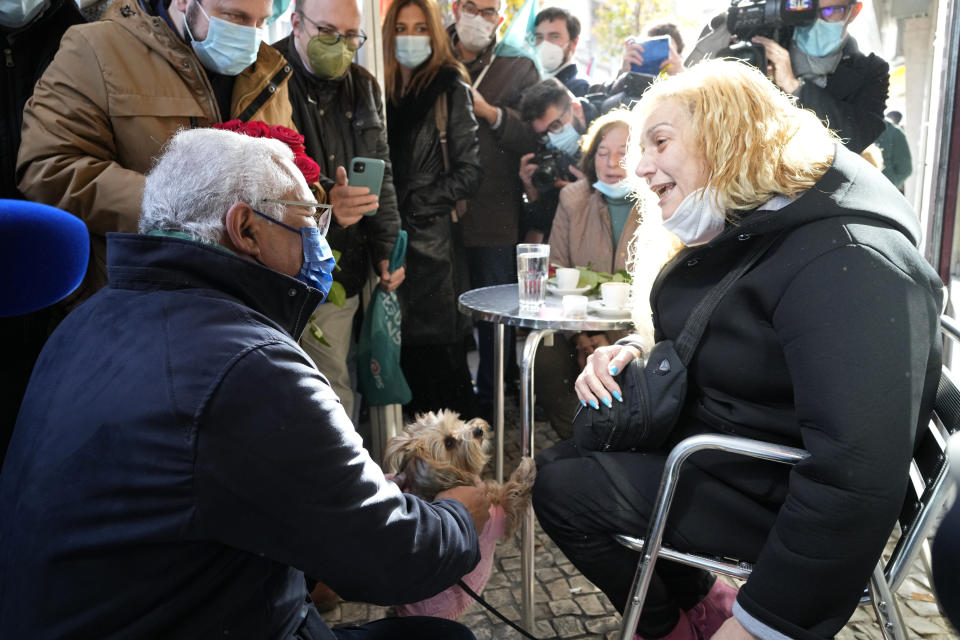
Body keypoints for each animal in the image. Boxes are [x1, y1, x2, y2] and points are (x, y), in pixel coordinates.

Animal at [384, 410, 536, 620]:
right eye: (449, 443)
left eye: (456, 420)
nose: (478, 430)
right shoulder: (502, 518)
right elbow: (512, 492)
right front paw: (526, 468)